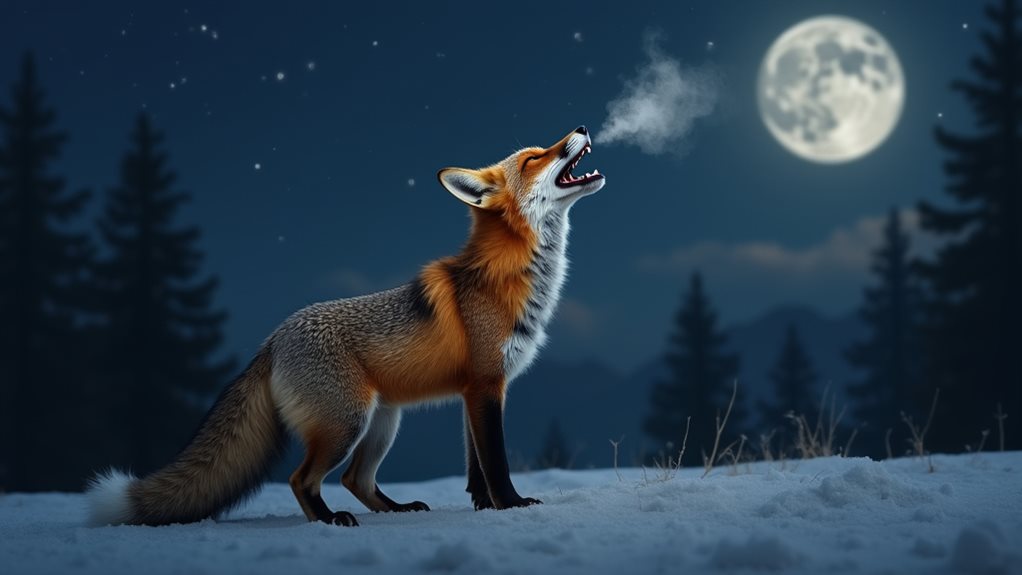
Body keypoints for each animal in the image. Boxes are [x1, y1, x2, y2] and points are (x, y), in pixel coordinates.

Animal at [86, 126, 605, 527]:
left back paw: (396, 510)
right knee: (302, 479)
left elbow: (475, 467)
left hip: (382, 423)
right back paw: (330, 519)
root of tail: (272, 339)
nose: (581, 125)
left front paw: (485, 507)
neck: (509, 278)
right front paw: (511, 505)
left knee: (357, 479)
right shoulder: (485, 384)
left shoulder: (475, 390)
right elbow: (495, 462)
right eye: (534, 158)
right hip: (346, 423)